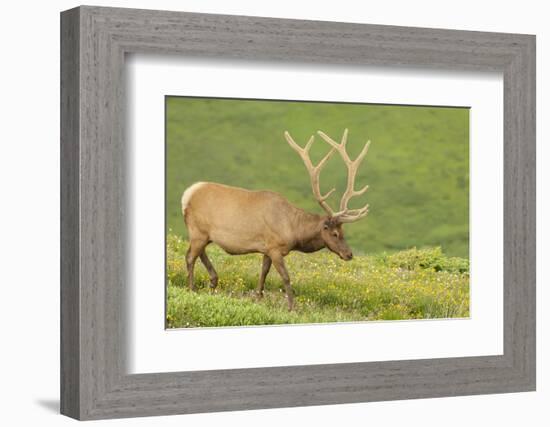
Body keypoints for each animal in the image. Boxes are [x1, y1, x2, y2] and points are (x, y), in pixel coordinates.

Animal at [181, 128, 370, 310]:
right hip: (198, 231)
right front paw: (292, 307)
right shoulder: (275, 248)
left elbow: (264, 272)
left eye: (343, 232)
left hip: (204, 234)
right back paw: (192, 288)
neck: (294, 231)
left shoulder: (267, 248)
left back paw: (213, 281)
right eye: (335, 233)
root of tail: (186, 195)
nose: (349, 254)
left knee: (199, 253)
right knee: (190, 256)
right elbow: (286, 277)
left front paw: (258, 298)